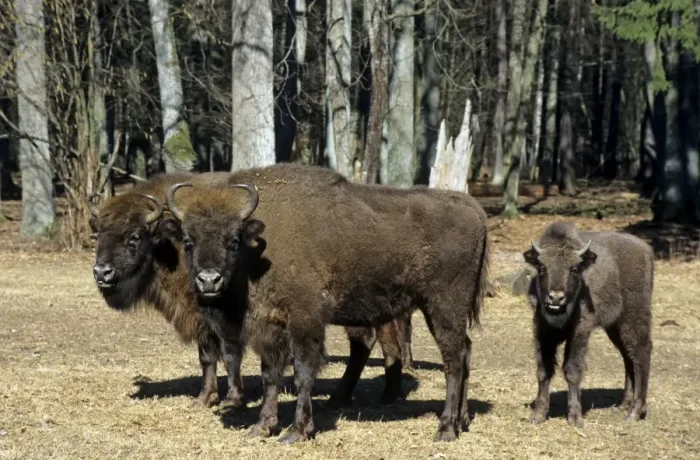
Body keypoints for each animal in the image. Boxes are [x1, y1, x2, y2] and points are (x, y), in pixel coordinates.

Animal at [165, 163, 490, 443]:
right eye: (188, 241)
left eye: (233, 241)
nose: (209, 281)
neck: (258, 250)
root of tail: (474, 209)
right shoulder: (270, 327)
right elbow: (271, 375)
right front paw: (262, 427)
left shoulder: (305, 322)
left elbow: (302, 374)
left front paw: (297, 431)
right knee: (466, 351)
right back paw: (462, 421)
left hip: (443, 306)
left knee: (453, 361)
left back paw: (445, 429)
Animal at [523, 221, 653, 427]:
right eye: (542, 267)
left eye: (575, 269)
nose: (556, 298)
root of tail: (646, 250)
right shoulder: (542, 331)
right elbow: (543, 371)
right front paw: (538, 415)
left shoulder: (580, 331)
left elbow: (572, 370)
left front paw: (575, 418)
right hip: (614, 327)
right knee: (628, 357)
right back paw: (624, 404)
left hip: (633, 318)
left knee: (641, 355)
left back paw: (633, 412)